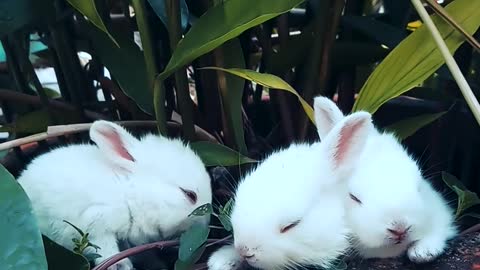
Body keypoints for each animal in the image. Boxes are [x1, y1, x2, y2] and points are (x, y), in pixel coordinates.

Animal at [16, 121, 212, 268]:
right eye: (190, 195)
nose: (206, 224)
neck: (129, 192)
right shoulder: (95, 225)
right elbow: (106, 250)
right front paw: (120, 265)